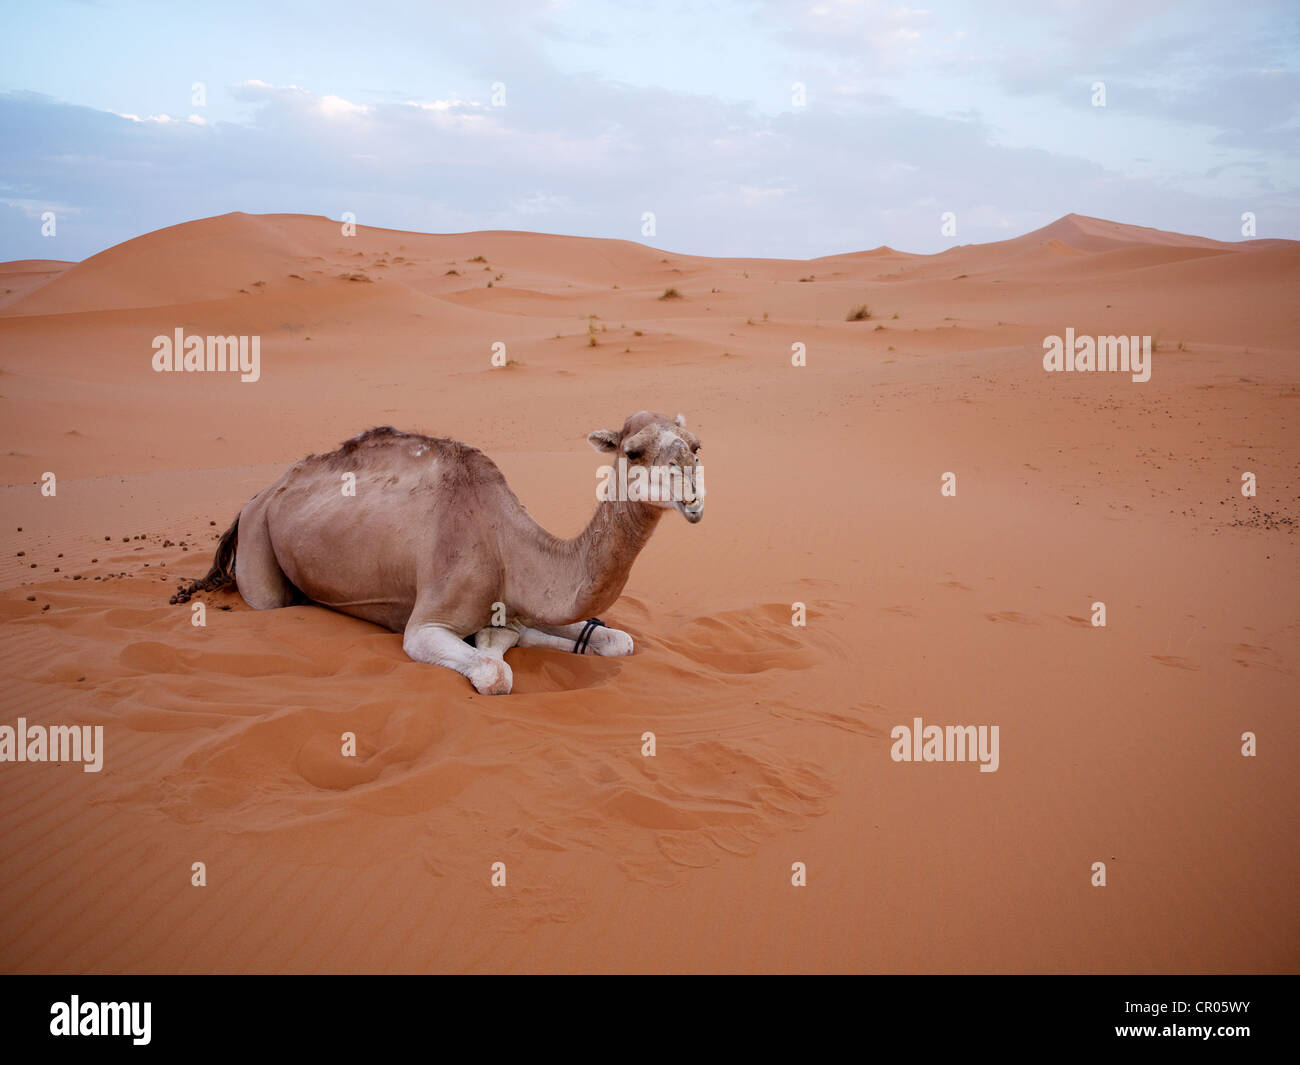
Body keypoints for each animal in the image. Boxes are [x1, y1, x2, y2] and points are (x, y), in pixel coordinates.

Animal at [183, 408, 702, 691]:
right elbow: (495, 673)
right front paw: (492, 649)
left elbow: (617, 640)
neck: (505, 546)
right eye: (632, 451)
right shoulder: (425, 625)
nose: (693, 494)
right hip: (259, 542)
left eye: (695, 445)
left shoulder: (523, 605)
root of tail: (257, 497)